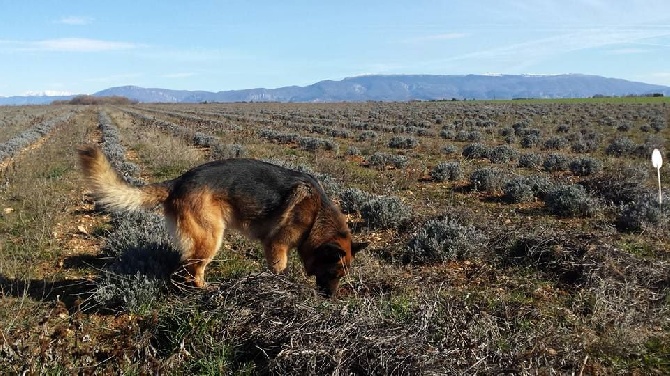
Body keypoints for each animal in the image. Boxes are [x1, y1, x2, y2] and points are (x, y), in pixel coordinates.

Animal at [78, 146, 368, 296]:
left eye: (341, 276)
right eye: (333, 273)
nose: (330, 299)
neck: (317, 216)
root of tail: (179, 181)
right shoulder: (276, 247)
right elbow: (279, 269)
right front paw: (280, 287)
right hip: (211, 238)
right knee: (192, 267)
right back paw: (203, 289)